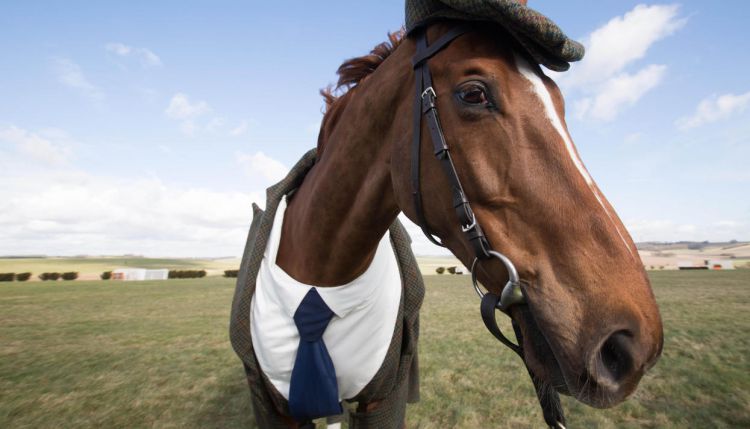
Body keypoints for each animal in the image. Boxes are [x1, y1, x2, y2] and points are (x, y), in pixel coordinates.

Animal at [239, 17, 664, 428]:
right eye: (474, 94)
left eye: (560, 104)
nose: (633, 343)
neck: (323, 279)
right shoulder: (278, 410)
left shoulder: (382, 399)